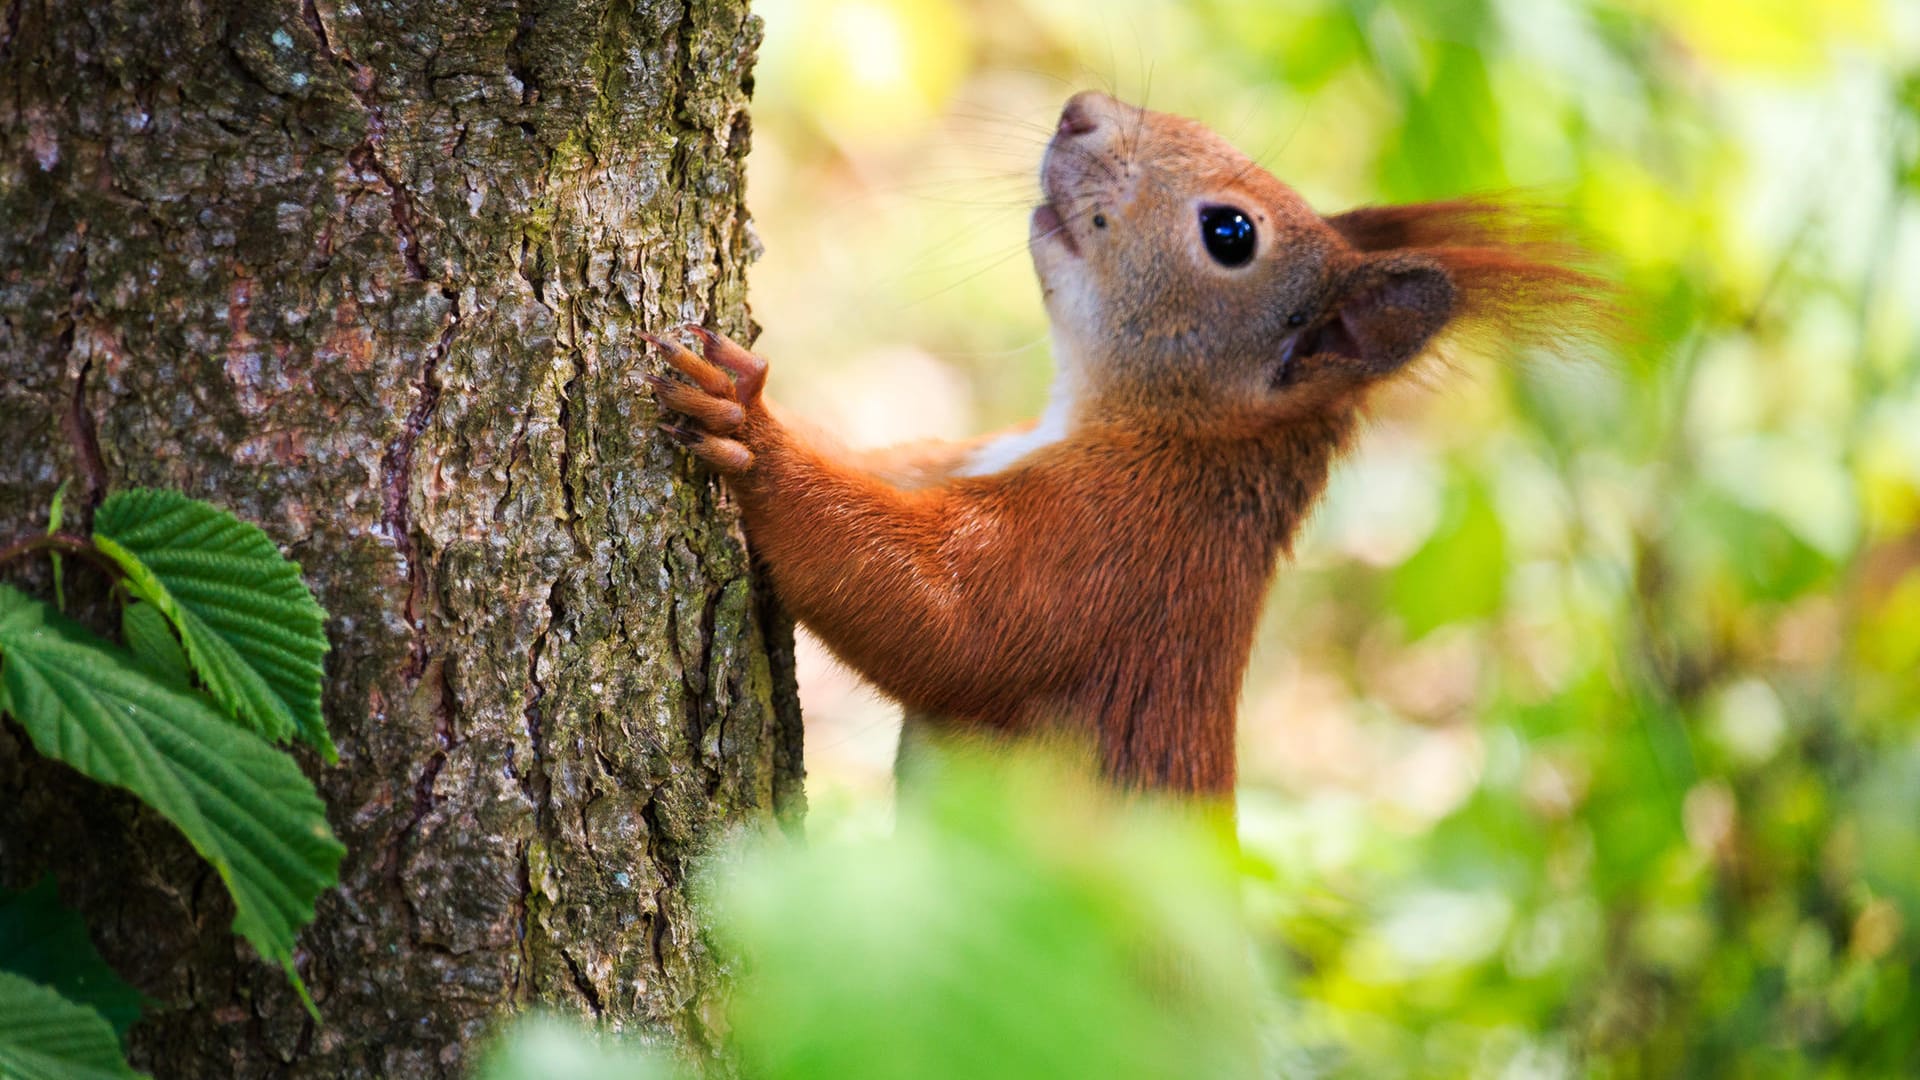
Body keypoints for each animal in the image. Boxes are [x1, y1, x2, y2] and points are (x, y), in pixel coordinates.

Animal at [645, 92, 1589, 795]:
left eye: (1231, 233)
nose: (1080, 112)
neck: (1170, 432)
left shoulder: (1116, 549)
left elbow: (942, 612)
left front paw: (748, 429)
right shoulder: (965, 457)